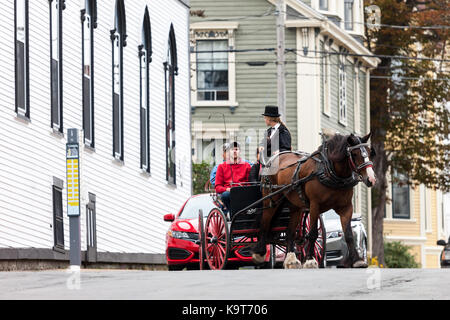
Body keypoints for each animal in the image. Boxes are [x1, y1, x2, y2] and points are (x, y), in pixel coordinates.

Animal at [253, 134, 376, 268]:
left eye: (370, 152)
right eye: (354, 154)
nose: (371, 179)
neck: (330, 172)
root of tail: (271, 160)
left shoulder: (346, 207)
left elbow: (348, 234)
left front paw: (357, 260)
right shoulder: (315, 205)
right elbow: (312, 233)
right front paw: (310, 260)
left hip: (295, 206)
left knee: (290, 232)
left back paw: (291, 259)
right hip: (270, 200)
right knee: (265, 223)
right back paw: (259, 253)